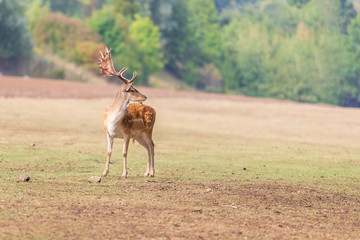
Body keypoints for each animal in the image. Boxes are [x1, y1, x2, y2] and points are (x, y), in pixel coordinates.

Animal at [97, 47, 155, 178]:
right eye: (132, 89)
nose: (145, 96)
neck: (113, 122)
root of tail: (153, 110)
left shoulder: (127, 133)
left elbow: (124, 152)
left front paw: (124, 174)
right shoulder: (108, 133)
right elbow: (108, 152)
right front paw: (104, 172)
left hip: (148, 130)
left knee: (152, 146)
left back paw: (152, 172)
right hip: (139, 135)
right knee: (147, 147)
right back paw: (146, 173)